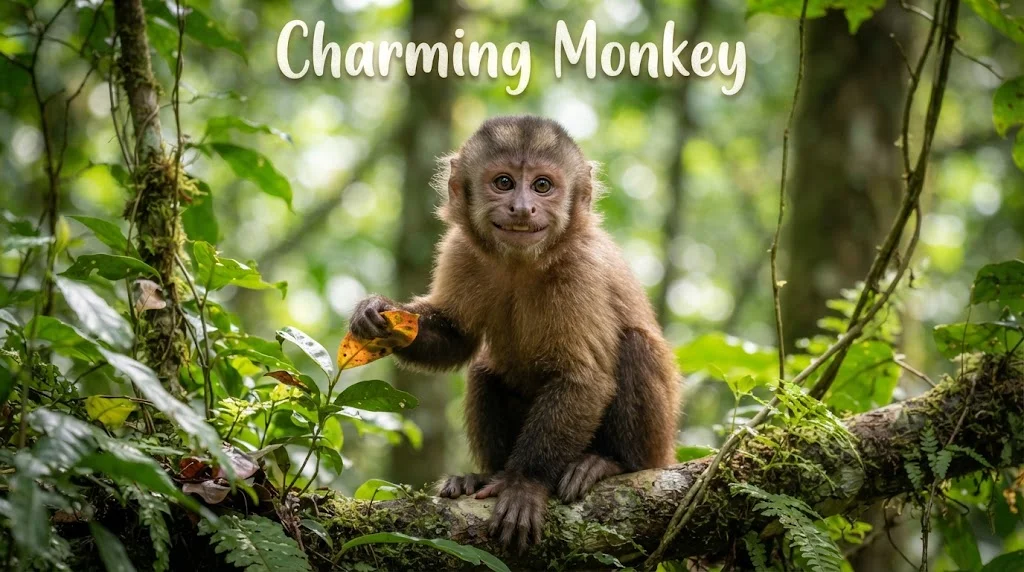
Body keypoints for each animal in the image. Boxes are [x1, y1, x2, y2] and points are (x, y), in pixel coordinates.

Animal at [348, 115, 680, 551]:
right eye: (504, 182)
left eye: (542, 185)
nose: (522, 208)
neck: (522, 263)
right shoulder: (460, 250)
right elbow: (457, 337)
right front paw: (380, 314)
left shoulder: (581, 269)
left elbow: (584, 379)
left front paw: (524, 484)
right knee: (484, 370)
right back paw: (484, 476)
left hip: (659, 449)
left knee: (636, 346)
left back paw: (610, 464)